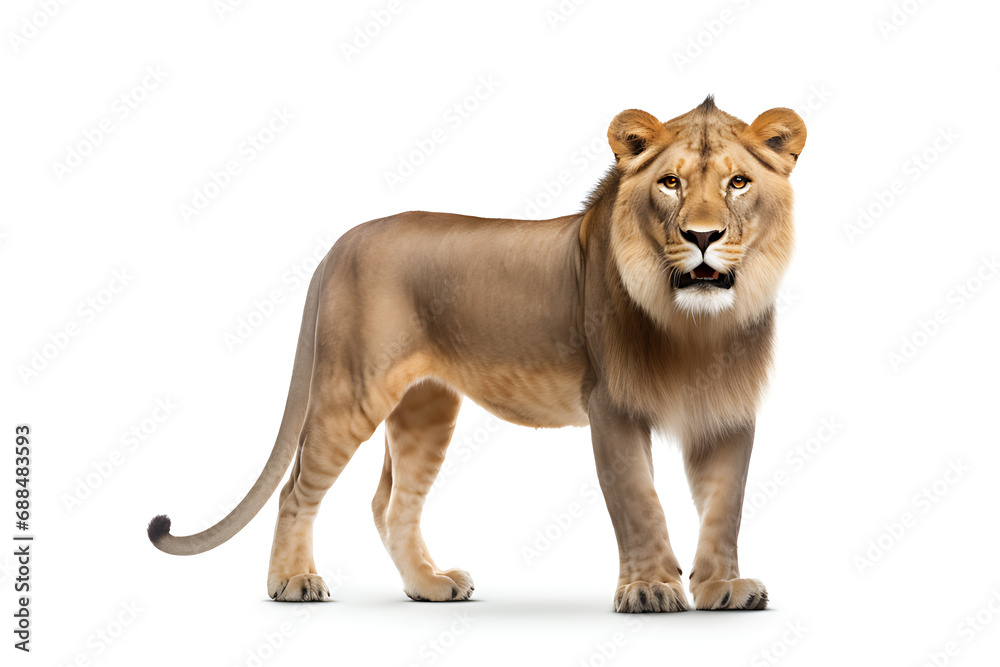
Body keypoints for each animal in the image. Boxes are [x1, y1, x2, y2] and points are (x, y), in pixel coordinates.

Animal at [148, 96, 805, 612]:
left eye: (738, 182)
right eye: (670, 182)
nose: (703, 237)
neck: (695, 324)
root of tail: (342, 242)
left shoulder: (729, 413)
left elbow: (725, 505)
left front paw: (721, 588)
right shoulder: (611, 406)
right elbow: (639, 502)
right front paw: (649, 590)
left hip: (425, 407)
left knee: (391, 502)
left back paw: (429, 585)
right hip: (350, 390)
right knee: (297, 489)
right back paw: (293, 582)